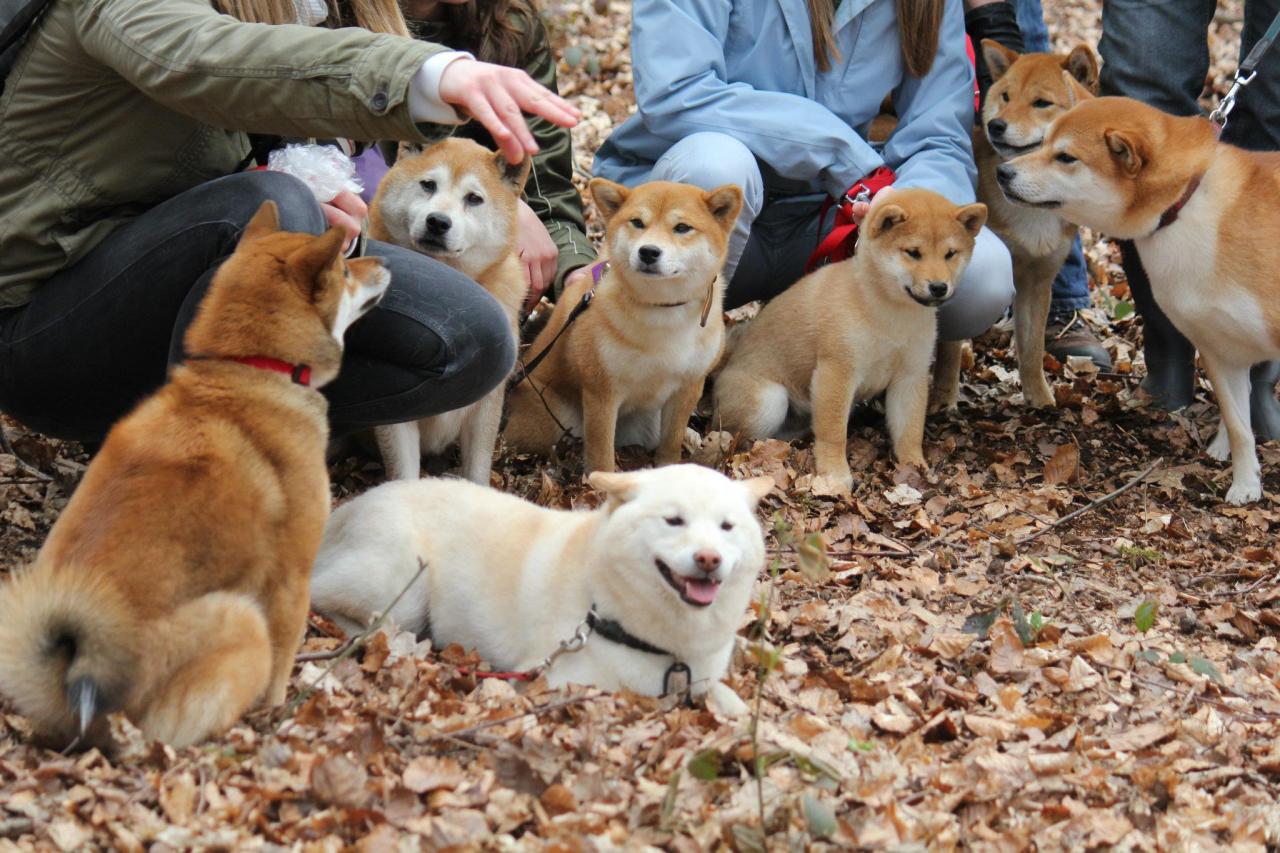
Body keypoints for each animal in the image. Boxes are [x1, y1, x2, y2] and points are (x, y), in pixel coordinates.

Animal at [0, 202, 386, 747]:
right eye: (347, 271)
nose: (382, 261)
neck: (248, 370)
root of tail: (72, 700)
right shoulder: (291, 577)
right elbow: (282, 663)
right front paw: (278, 716)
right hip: (241, 619)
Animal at [371, 140, 529, 484]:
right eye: (428, 185)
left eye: (474, 198)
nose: (438, 222)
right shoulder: (397, 416)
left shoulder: (486, 406)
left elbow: (478, 472)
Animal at [716, 185, 983, 491]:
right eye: (913, 253)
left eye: (950, 254)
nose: (939, 287)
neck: (889, 312)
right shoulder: (837, 370)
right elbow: (834, 433)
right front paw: (834, 474)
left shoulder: (911, 374)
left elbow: (910, 429)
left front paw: (916, 466)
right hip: (769, 401)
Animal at [998, 95, 1280, 502]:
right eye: (1044, 141)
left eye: (1065, 157)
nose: (1002, 172)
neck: (1187, 202)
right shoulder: (1219, 350)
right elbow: (1239, 428)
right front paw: (1245, 485)